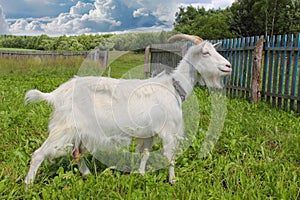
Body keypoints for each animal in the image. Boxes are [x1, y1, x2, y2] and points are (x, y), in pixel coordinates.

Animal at [24, 34, 232, 184]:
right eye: (206, 53)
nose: (228, 66)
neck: (174, 86)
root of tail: (56, 94)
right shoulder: (169, 131)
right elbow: (171, 156)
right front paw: (173, 181)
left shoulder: (148, 132)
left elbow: (145, 154)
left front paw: (140, 174)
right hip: (64, 127)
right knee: (38, 154)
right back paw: (28, 186)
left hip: (80, 130)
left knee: (77, 153)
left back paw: (87, 174)